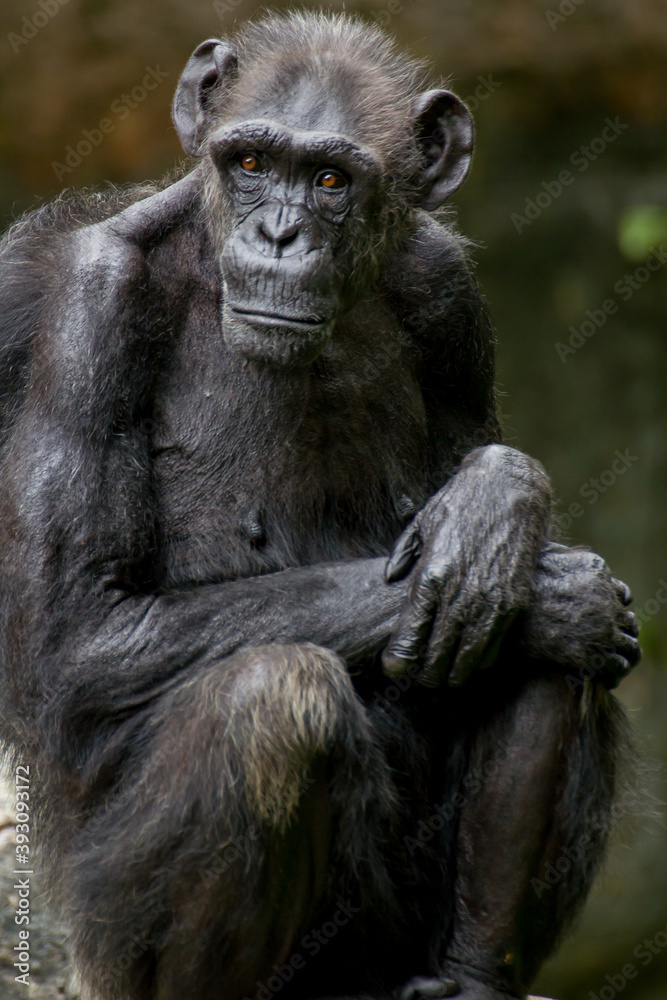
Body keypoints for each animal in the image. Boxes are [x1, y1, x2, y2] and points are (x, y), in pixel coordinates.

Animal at [0, 11, 640, 1000]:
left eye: (331, 181)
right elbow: (86, 628)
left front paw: (498, 502)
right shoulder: (89, 306)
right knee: (274, 704)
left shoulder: (450, 293)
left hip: (389, 941)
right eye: (251, 162)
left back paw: (468, 974)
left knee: (554, 666)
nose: (278, 233)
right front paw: (541, 582)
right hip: (109, 945)